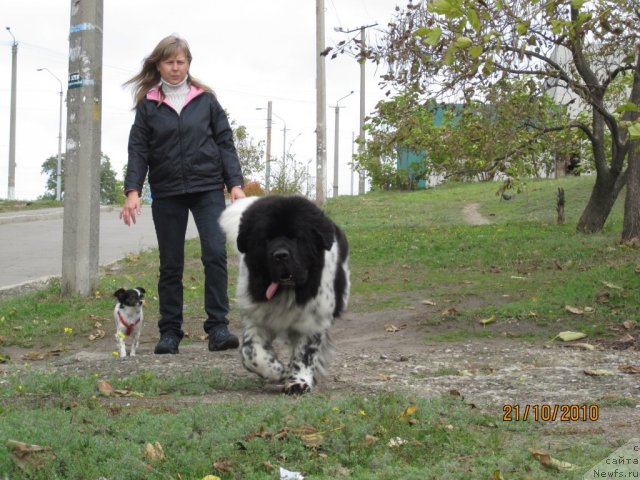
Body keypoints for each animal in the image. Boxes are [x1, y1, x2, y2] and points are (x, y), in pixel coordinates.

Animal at [220, 194, 350, 394]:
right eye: (266, 239)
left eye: (296, 237)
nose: (280, 255)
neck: (286, 292)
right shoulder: (255, 317)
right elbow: (251, 354)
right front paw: (278, 372)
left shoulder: (312, 321)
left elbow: (305, 353)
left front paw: (298, 381)